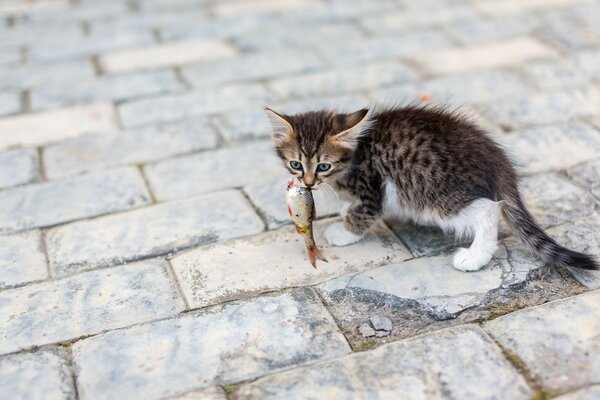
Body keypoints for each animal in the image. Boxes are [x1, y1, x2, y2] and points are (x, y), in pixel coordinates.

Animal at [268, 104, 600, 270]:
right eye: (296, 164)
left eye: (323, 166)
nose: (307, 183)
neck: (357, 152)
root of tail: (497, 159)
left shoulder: (373, 185)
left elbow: (363, 212)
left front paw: (344, 232)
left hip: (433, 192)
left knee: (488, 209)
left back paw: (475, 257)